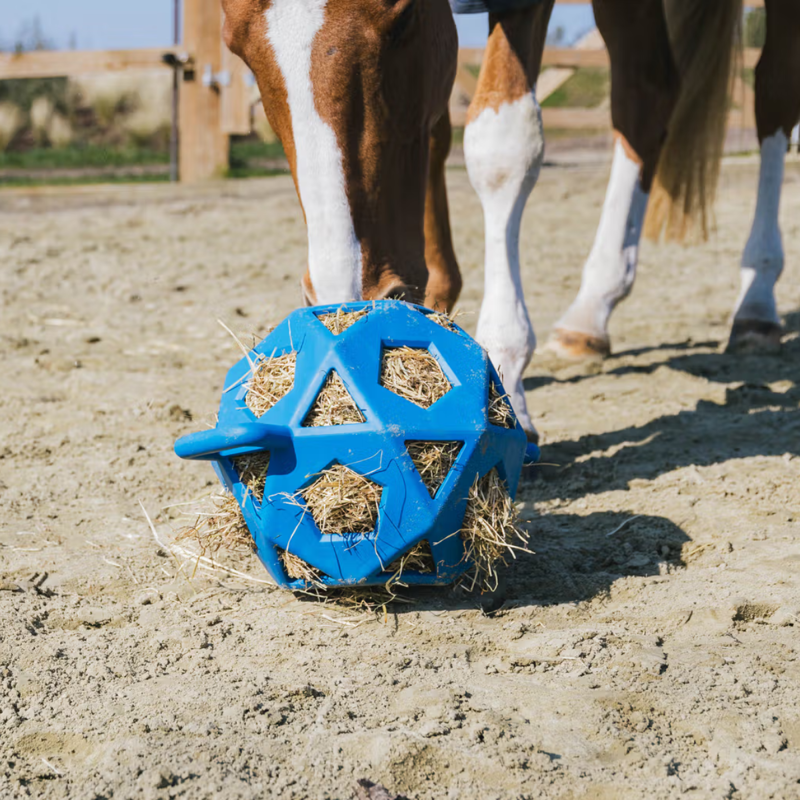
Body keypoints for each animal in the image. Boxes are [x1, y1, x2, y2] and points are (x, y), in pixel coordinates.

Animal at [220, 0, 797, 443]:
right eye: (235, 46)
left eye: (403, 19)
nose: (348, 300)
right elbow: (438, 130)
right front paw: (438, 306)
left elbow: (501, 146)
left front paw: (503, 368)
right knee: (647, 93)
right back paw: (591, 312)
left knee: (773, 88)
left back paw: (756, 300)